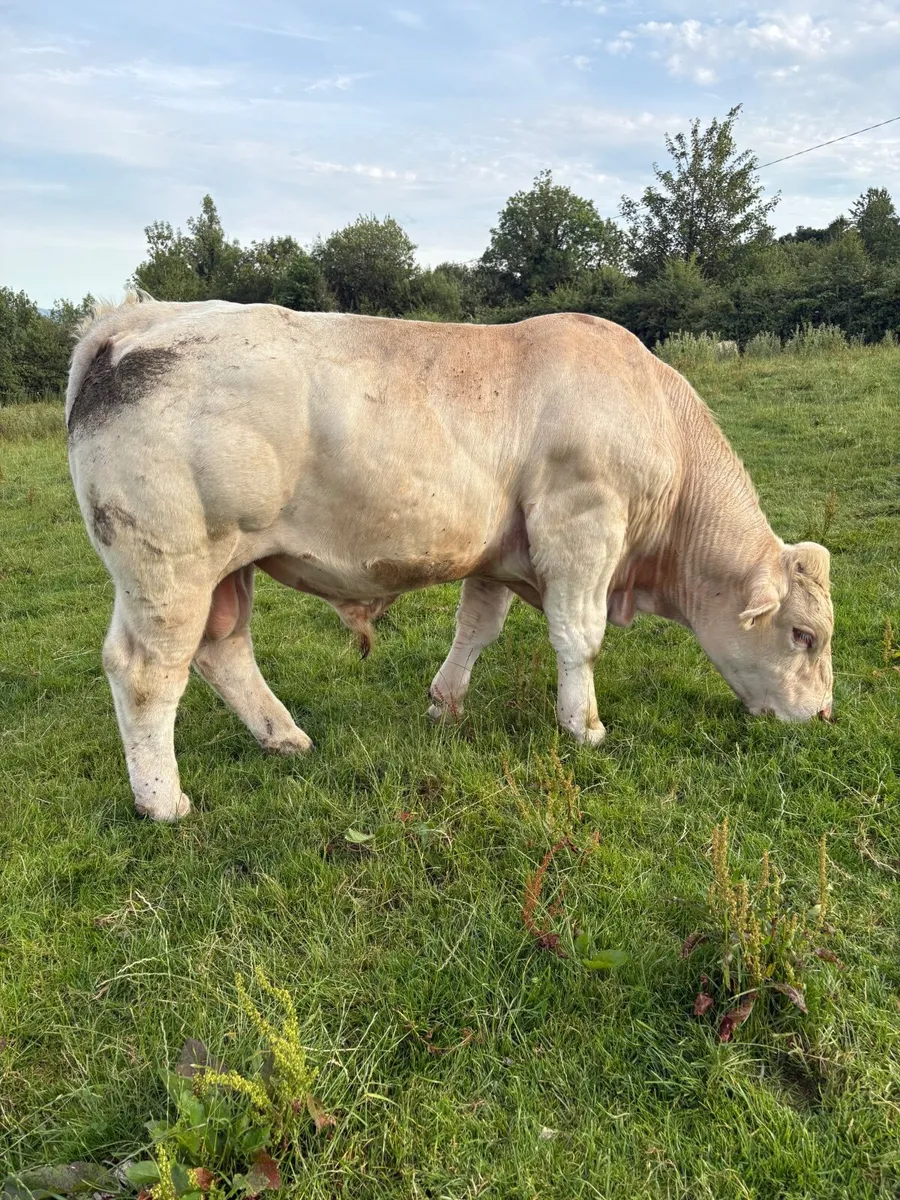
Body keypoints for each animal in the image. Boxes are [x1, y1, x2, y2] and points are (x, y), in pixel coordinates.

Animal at [66, 295, 834, 820]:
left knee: (222, 649)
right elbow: (577, 637)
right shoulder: (582, 527)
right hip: (170, 564)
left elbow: (477, 628)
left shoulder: (499, 554)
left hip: (225, 568)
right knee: (146, 671)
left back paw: (285, 737)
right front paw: (583, 725)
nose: (824, 716)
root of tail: (136, 320)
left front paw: (446, 702)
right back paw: (163, 801)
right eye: (804, 635)